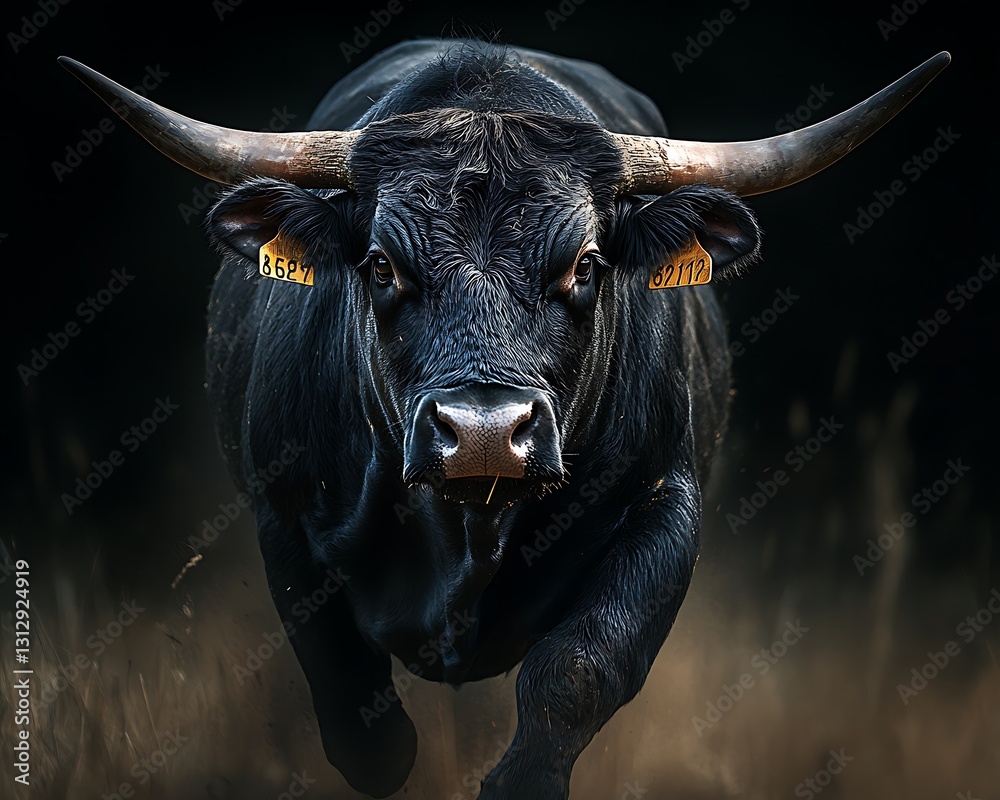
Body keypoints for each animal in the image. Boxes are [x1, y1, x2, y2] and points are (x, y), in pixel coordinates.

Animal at [61, 40, 949, 799]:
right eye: (380, 264)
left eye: (585, 265)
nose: (484, 431)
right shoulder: (285, 521)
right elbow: (362, 723)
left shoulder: (664, 504)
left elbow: (579, 669)